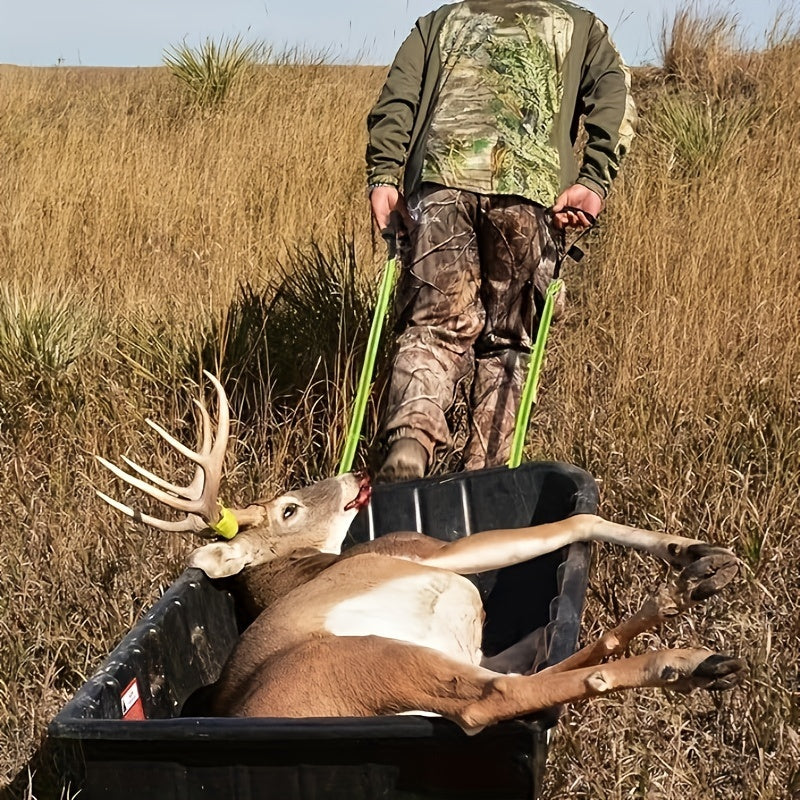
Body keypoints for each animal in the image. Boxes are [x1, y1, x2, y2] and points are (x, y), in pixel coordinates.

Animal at [97, 373, 744, 734]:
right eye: (288, 508)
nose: (358, 472)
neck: (309, 567)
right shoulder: (429, 553)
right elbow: (575, 520)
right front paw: (692, 548)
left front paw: (698, 562)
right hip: (372, 659)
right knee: (496, 698)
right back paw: (691, 659)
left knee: (540, 663)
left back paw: (678, 602)